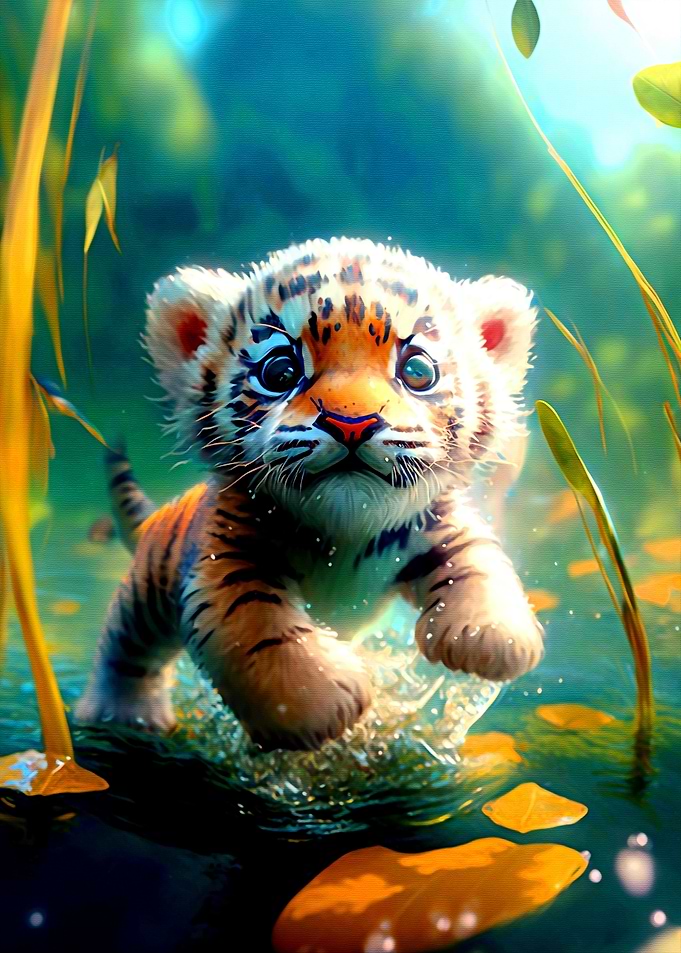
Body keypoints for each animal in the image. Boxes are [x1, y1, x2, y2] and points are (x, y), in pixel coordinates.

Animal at [76, 237, 544, 751]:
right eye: (279, 371)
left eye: (418, 370)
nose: (352, 422)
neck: (348, 527)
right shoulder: (229, 559)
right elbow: (256, 627)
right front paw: (321, 706)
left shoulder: (440, 527)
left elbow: (478, 565)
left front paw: (490, 638)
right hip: (144, 596)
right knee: (123, 650)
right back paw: (123, 716)